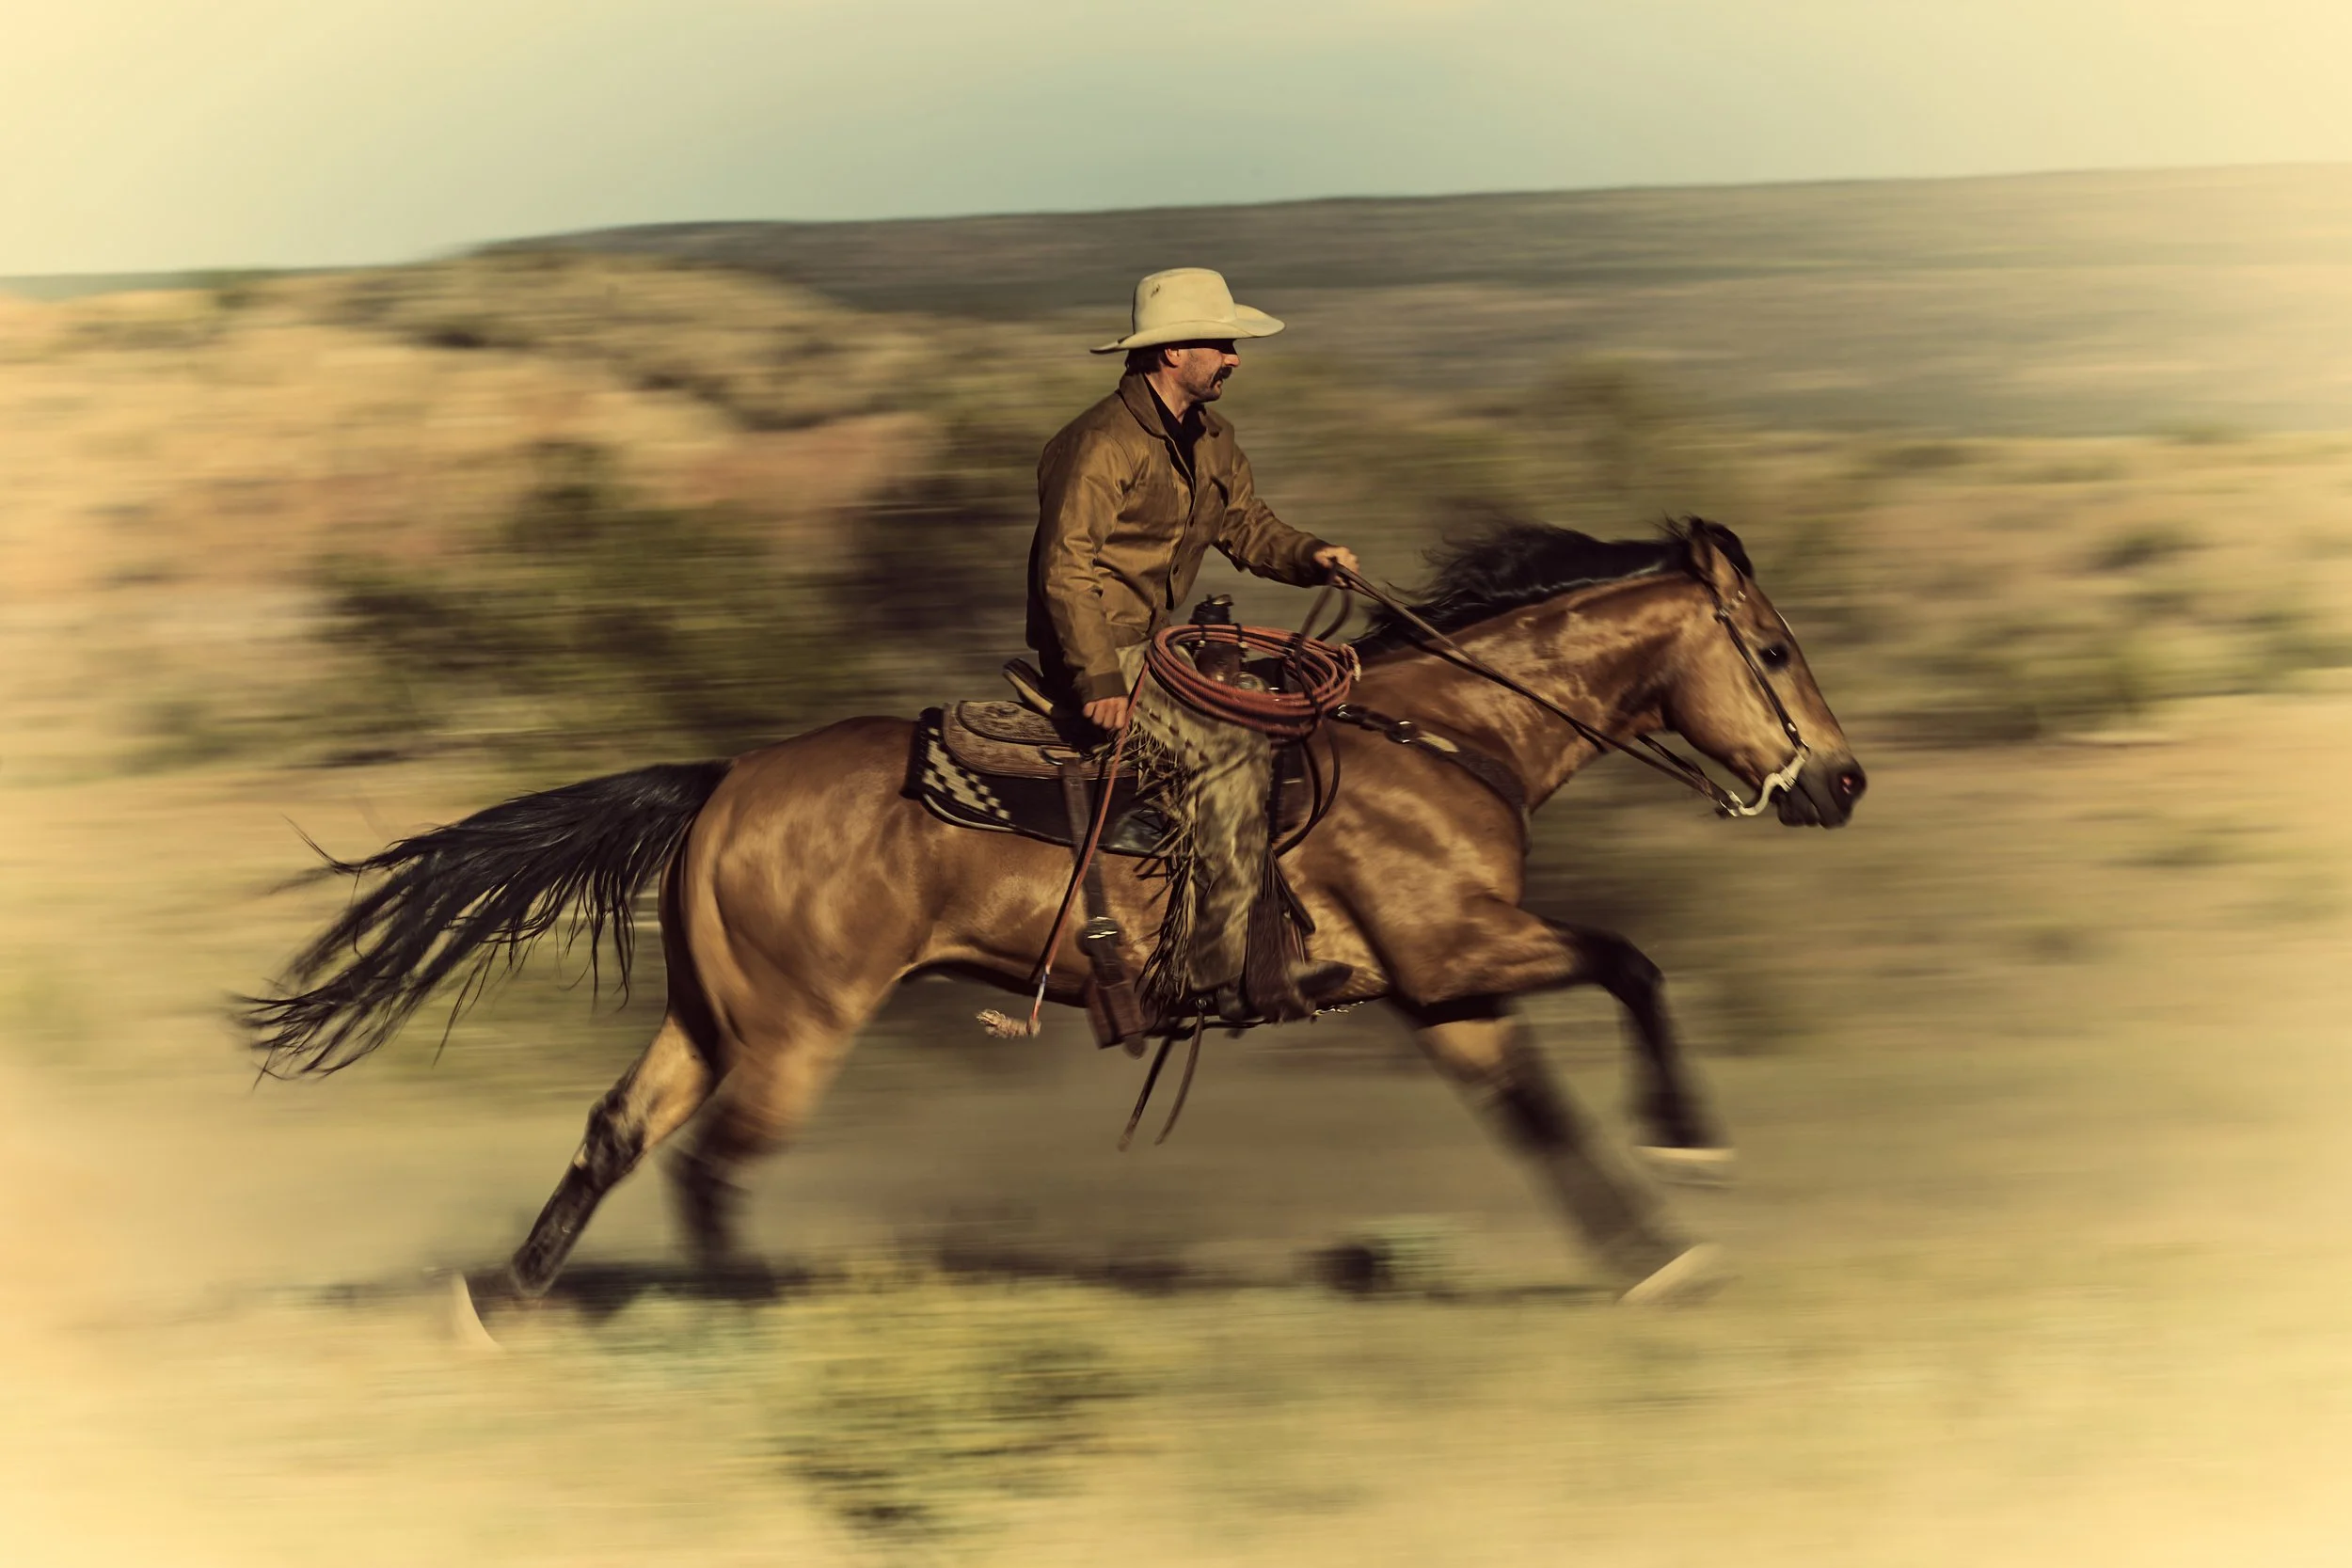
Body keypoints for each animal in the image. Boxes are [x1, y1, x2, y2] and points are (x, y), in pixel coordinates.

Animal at [246, 517, 1864, 1306]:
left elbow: (1537, 1117)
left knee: (615, 1135)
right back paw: (748, 1314)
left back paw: (507, 1299)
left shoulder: (1442, 990)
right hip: (796, 1029)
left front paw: (1656, 1256)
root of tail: (724, 780)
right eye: (1775, 646)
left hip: (712, 1014)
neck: (1447, 737)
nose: (1843, 781)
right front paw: (1692, 1143)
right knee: (711, 1167)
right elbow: (1635, 961)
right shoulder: (1456, 944)